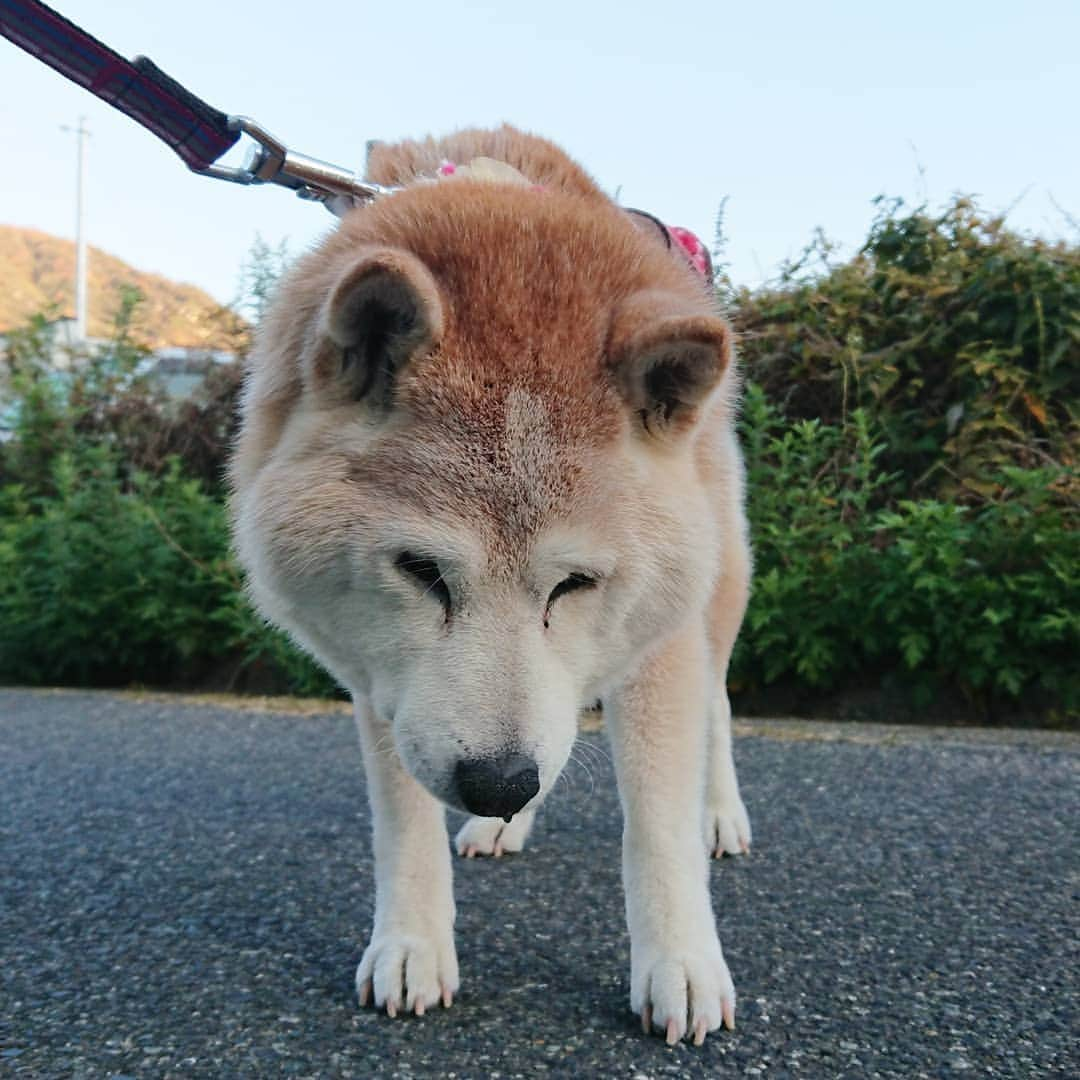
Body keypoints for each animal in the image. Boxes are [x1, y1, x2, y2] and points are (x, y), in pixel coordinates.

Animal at [227, 126, 751, 1045]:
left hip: (711, 592)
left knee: (711, 708)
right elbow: (404, 824)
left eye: (575, 583)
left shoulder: (656, 646)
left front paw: (681, 962)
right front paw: (411, 945)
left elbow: (657, 824)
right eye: (421, 571)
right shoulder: (386, 677)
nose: (499, 785)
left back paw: (714, 813)